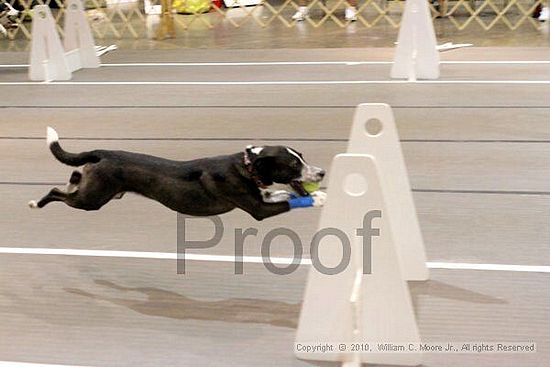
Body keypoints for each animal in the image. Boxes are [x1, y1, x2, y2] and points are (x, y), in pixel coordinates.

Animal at [28, 128, 326, 220]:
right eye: (293, 164)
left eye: (302, 156)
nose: (322, 172)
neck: (246, 166)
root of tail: (103, 153)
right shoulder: (258, 210)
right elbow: (290, 200)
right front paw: (320, 198)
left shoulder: (261, 196)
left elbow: (282, 193)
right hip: (92, 200)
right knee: (56, 192)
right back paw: (36, 203)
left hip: (97, 191)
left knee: (74, 179)